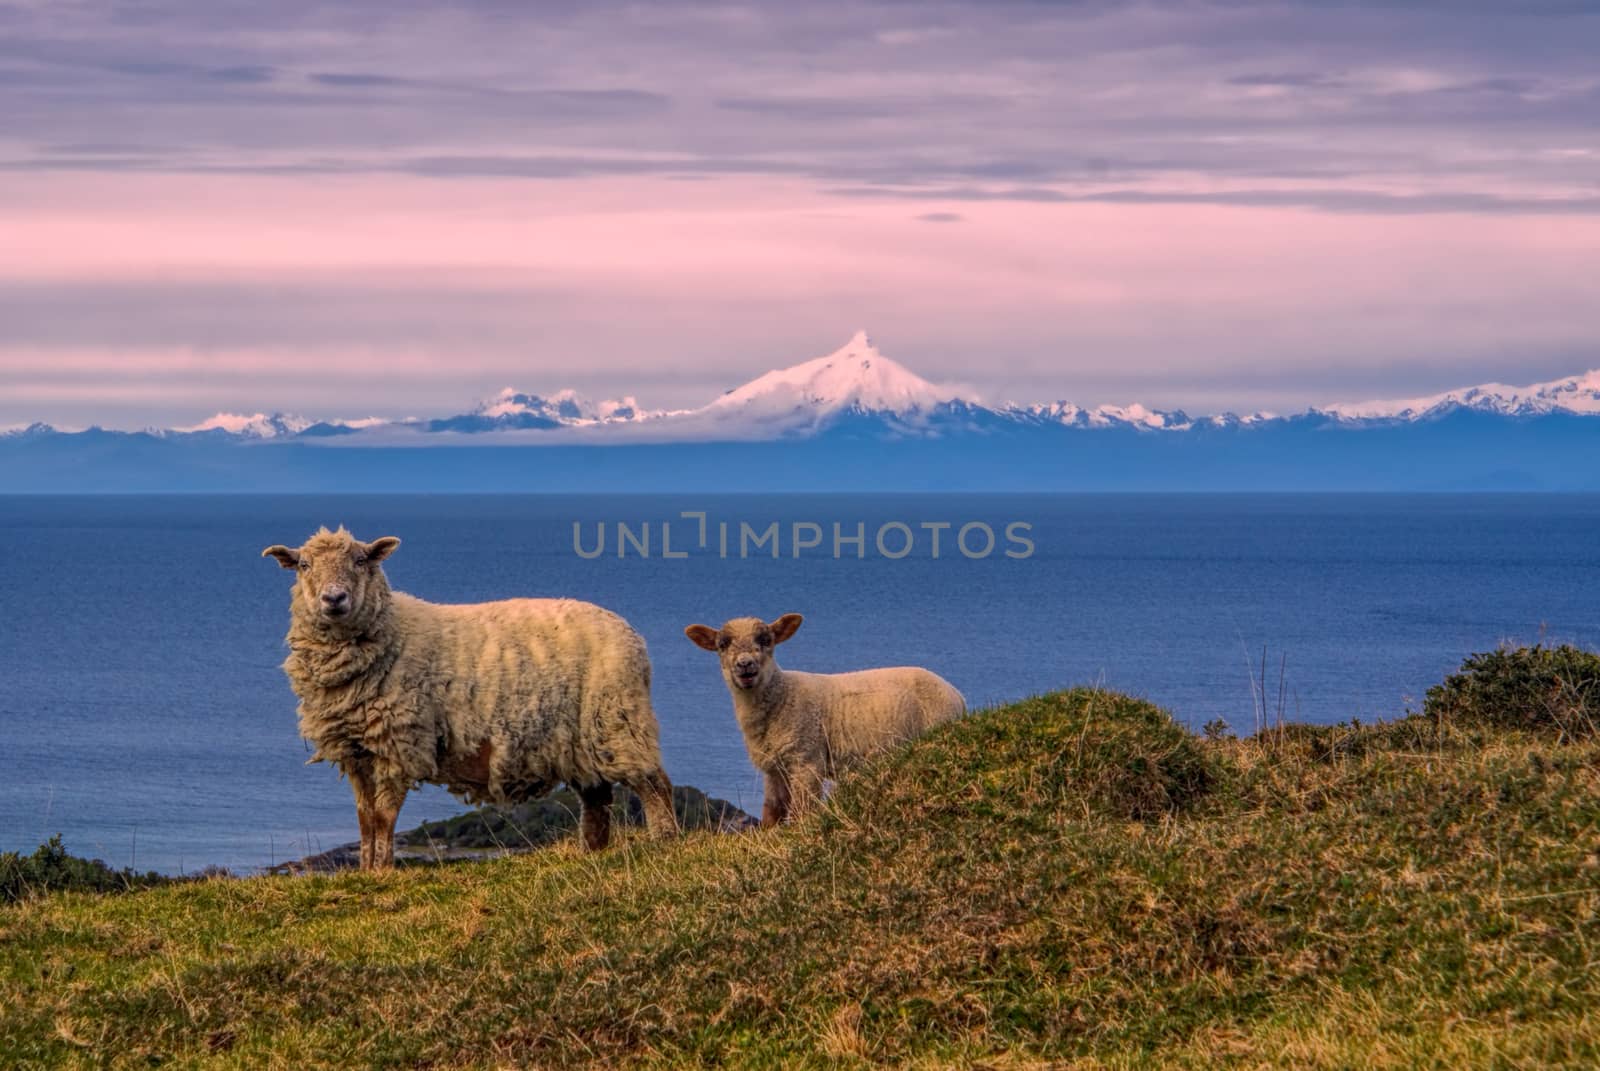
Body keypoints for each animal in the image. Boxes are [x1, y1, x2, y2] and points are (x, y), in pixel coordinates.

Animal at [262, 525, 675, 870]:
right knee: (597, 799)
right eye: (303, 565)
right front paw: (364, 870)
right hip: (579, 741)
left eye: (361, 561)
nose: (334, 599)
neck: (391, 634)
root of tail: (631, 634)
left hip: (618, 718)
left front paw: (382, 871)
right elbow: (365, 819)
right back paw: (592, 852)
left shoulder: (400, 744)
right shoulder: (356, 749)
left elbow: (384, 816)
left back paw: (663, 841)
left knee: (654, 784)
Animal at [678, 608, 953, 826]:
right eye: (722, 644)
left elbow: (802, 811)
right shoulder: (774, 768)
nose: (745, 665)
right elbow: (772, 812)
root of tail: (955, 693)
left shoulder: (807, 760)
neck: (782, 697)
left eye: (766, 640)